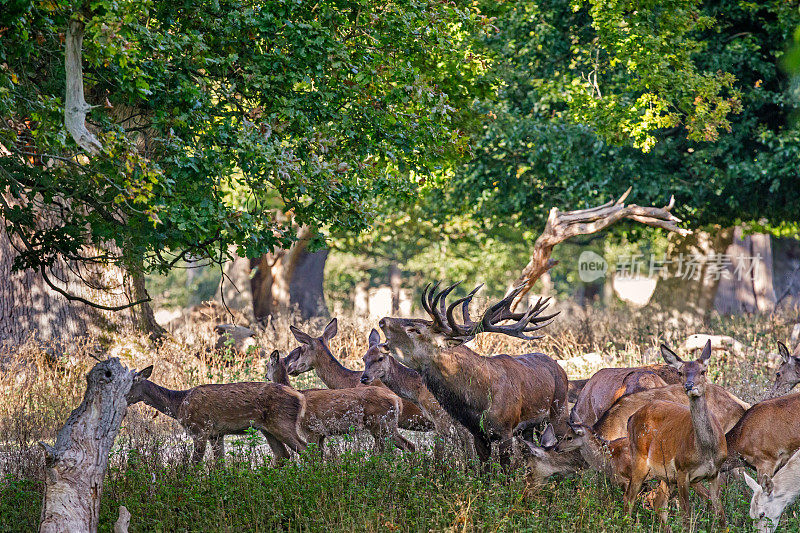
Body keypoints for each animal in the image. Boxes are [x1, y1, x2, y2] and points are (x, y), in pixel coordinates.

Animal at [124, 366, 306, 462]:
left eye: (128, 384)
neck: (178, 404)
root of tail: (299, 397)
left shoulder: (200, 429)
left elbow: (194, 466)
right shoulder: (216, 434)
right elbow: (220, 465)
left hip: (282, 422)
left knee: (306, 450)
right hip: (267, 429)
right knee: (283, 455)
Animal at [266, 350, 416, 454]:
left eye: (267, 365)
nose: (266, 376)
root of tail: (397, 399)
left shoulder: (311, 429)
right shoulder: (321, 434)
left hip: (383, 424)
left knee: (408, 445)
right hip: (383, 426)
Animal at [378, 280, 564, 464]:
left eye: (415, 330)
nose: (382, 320)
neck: (478, 402)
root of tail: (559, 366)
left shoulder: (506, 430)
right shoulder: (478, 434)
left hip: (559, 411)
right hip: (531, 427)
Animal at [624, 340, 732, 528]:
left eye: (703, 371)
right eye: (680, 372)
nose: (689, 386)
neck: (706, 451)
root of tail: (631, 417)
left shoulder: (715, 472)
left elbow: (721, 516)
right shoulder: (682, 471)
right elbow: (686, 518)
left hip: (666, 476)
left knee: (658, 502)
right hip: (639, 459)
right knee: (629, 499)